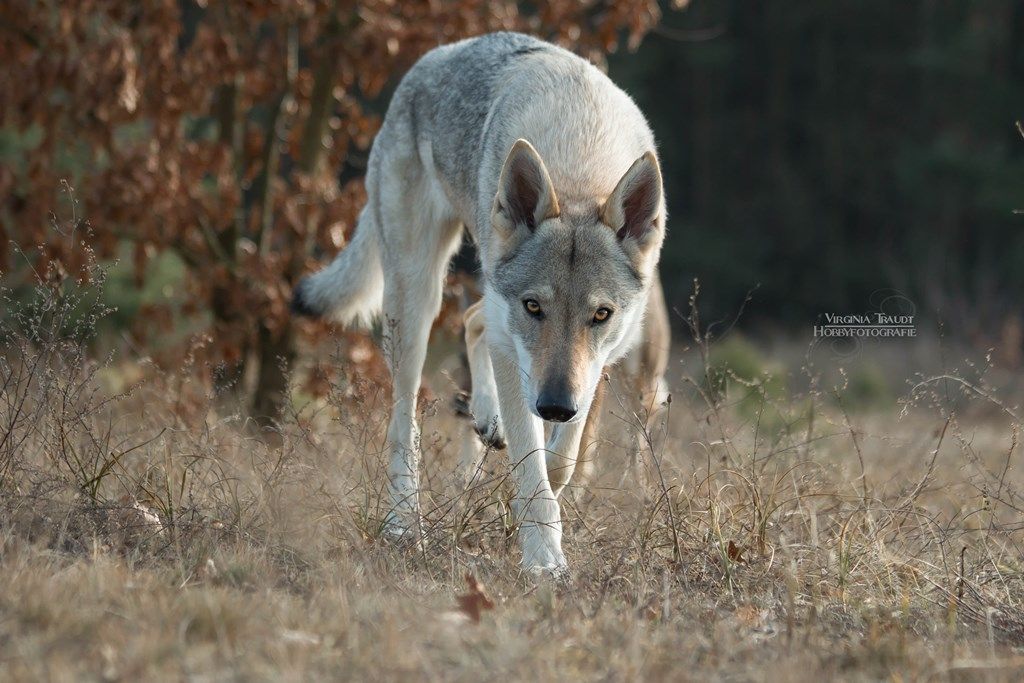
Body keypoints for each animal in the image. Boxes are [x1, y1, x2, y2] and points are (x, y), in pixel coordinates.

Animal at [292, 31, 667, 577]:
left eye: (601, 314)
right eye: (534, 307)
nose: (555, 406)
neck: (579, 165)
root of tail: (435, 56)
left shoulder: (598, 362)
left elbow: (561, 461)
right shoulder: (519, 347)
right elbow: (533, 471)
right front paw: (544, 560)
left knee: (474, 323)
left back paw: (488, 421)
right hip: (416, 298)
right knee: (403, 424)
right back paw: (404, 526)